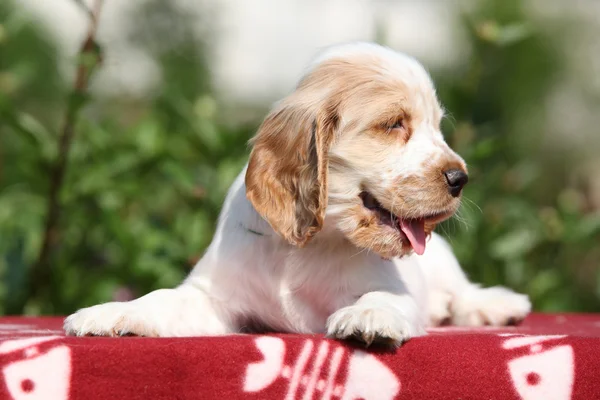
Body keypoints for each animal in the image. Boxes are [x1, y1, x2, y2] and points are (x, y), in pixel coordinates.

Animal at [65, 42, 532, 346]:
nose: (460, 178)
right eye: (393, 124)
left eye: (437, 127)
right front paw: (109, 313)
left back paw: (495, 305)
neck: (313, 243)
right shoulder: (214, 297)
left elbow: (384, 297)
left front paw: (368, 316)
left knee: (458, 291)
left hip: (441, 262)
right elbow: (162, 299)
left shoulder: (395, 288)